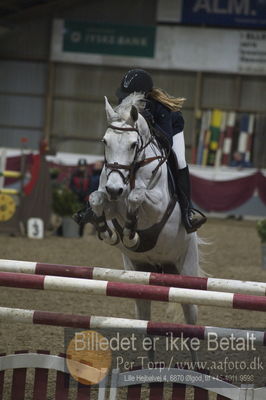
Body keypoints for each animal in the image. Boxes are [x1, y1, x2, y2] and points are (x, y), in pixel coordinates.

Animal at [90, 94, 201, 356]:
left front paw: (131, 233)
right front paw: (108, 232)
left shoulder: (157, 206)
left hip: (186, 273)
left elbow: (136, 196)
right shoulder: (108, 198)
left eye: (133, 145)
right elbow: (96, 198)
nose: (114, 189)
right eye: (105, 141)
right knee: (144, 319)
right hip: (139, 275)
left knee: (191, 318)